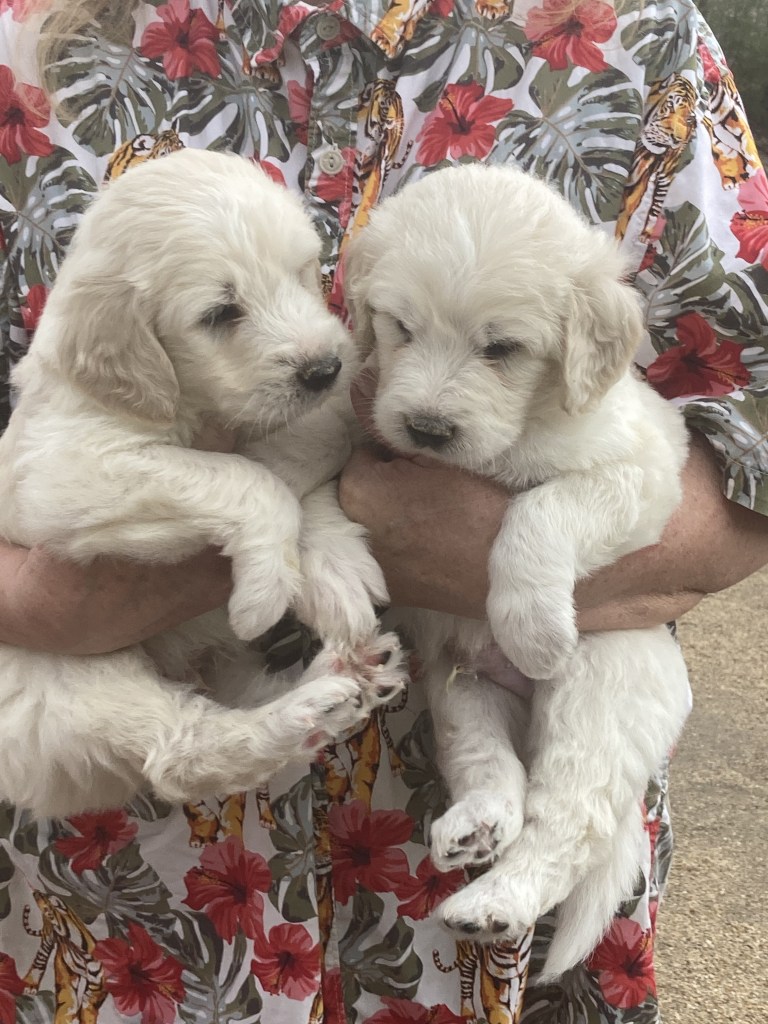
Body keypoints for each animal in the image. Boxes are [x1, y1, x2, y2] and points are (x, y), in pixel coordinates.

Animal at [0, 148, 404, 819]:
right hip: (64, 677)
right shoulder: (63, 471)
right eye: (221, 314)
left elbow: (310, 455)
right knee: (179, 753)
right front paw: (266, 590)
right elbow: (248, 478)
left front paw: (336, 574)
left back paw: (346, 676)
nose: (326, 369)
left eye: (301, 274)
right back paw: (307, 707)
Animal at [345, 163, 692, 979]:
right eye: (400, 328)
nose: (426, 428)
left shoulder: (642, 472)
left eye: (501, 348)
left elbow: (539, 510)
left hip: (601, 690)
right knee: (490, 766)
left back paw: (497, 901)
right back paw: (477, 824)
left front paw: (533, 628)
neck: (518, 432)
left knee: (570, 819)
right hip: (459, 685)